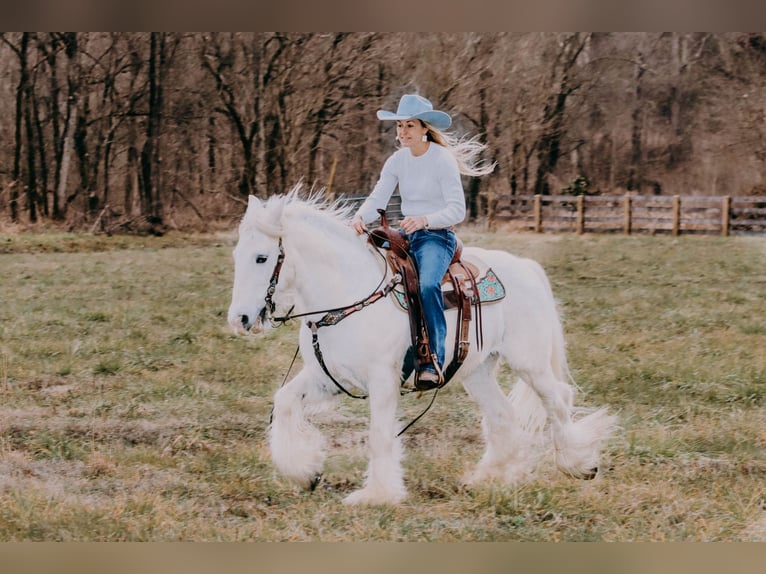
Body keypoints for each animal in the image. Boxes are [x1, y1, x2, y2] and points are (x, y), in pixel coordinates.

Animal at [228, 188, 616, 504]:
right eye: (236, 255)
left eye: (262, 258)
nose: (240, 318)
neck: (348, 294)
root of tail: (527, 267)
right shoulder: (327, 378)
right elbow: (284, 401)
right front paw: (304, 472)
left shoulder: (383, 380)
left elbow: (380, 434)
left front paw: (377, 495)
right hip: (477, 370)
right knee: (503, 415)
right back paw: (487, 477)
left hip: (528, 362)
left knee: (558, 398)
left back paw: (579, 464)